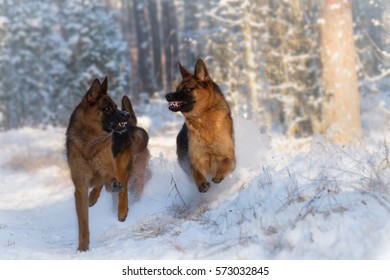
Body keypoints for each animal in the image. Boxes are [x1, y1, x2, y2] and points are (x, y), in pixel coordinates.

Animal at [66, 77, 149, 252]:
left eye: (116, 106)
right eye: (107, 109)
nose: (126, 115)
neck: (90, 143)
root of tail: (131, 125)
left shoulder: (112, 169)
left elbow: (118, 186)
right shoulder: (80, 188)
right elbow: (83, 223)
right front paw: (82, 247)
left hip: (121, 166)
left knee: (123, 186)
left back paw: (122, 210)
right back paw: (93, 197)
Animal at [165, 59, 235, 192]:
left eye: (186, 90)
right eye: (177, 89)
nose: (167, 95)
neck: (203, 119)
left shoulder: (229, 156)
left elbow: (227, 161)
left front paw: (219, 174)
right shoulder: (195, 160)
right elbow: (195, 171)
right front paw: (201, 182)